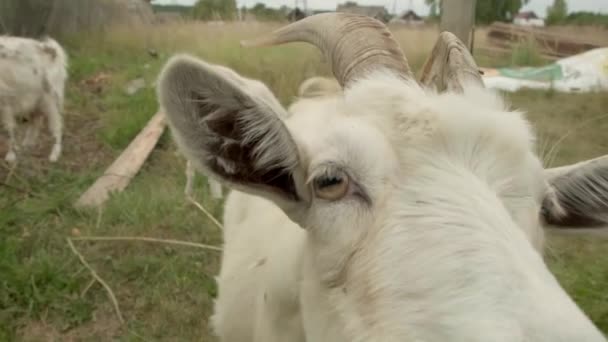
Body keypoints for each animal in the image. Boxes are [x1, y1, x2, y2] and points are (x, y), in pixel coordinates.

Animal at [0, 35, 67, 164]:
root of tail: (52, 50)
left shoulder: (5, 103)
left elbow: (8, 129)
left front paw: (10, 156)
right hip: (34, 101)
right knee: (36, 121)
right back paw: (27, 145)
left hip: (51, 99)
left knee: (57, 125)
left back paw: (54, 155)